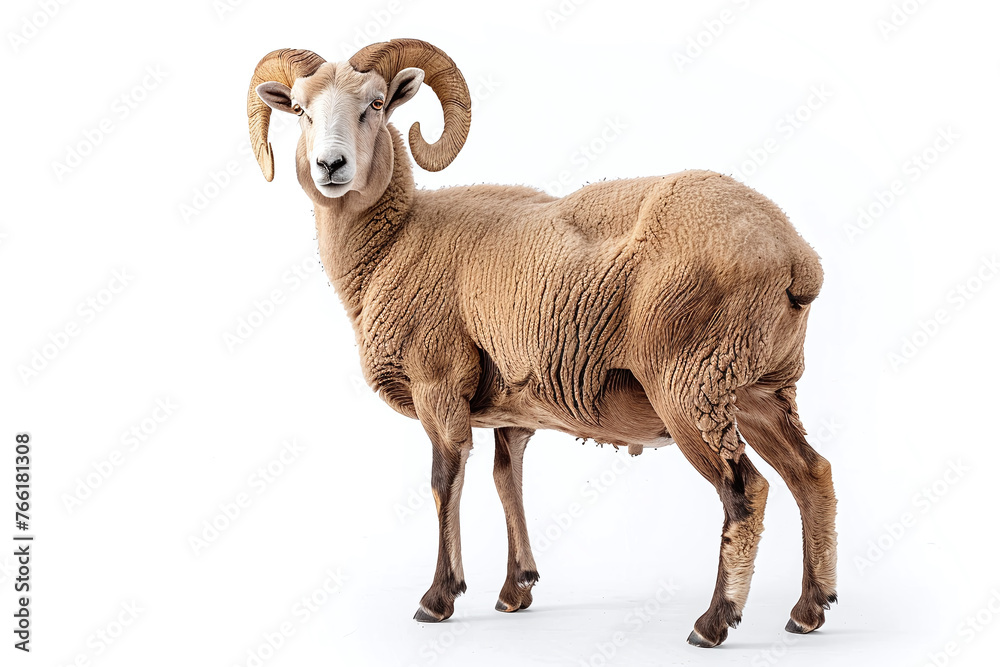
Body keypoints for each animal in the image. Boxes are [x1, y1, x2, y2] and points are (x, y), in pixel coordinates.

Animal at [247, 38, 837, 648]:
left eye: (376, 104)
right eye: (301, 110)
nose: (330, 166)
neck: (398, 240)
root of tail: (797, 258)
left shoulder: (438, 386)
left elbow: (443, 481)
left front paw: (438, 598)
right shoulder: (510, 408)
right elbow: (507, 479)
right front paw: (516, 589)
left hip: (692, 387)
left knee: (746, 492)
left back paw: (715, 621)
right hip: (759, 389)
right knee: (812, 474)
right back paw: (809, 609)